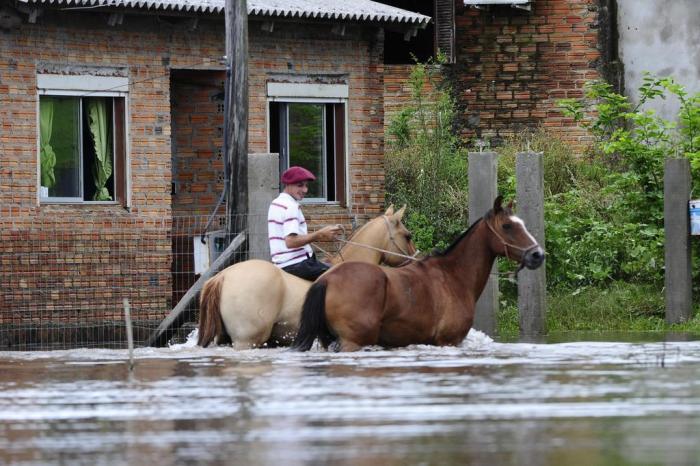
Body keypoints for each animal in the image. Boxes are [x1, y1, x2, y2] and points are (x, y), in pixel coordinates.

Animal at [292, 195, 544, 352]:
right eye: (507, 226)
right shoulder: (448, 341)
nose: (537, 255)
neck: (453, 276)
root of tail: (328, 278)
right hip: (353, 342)